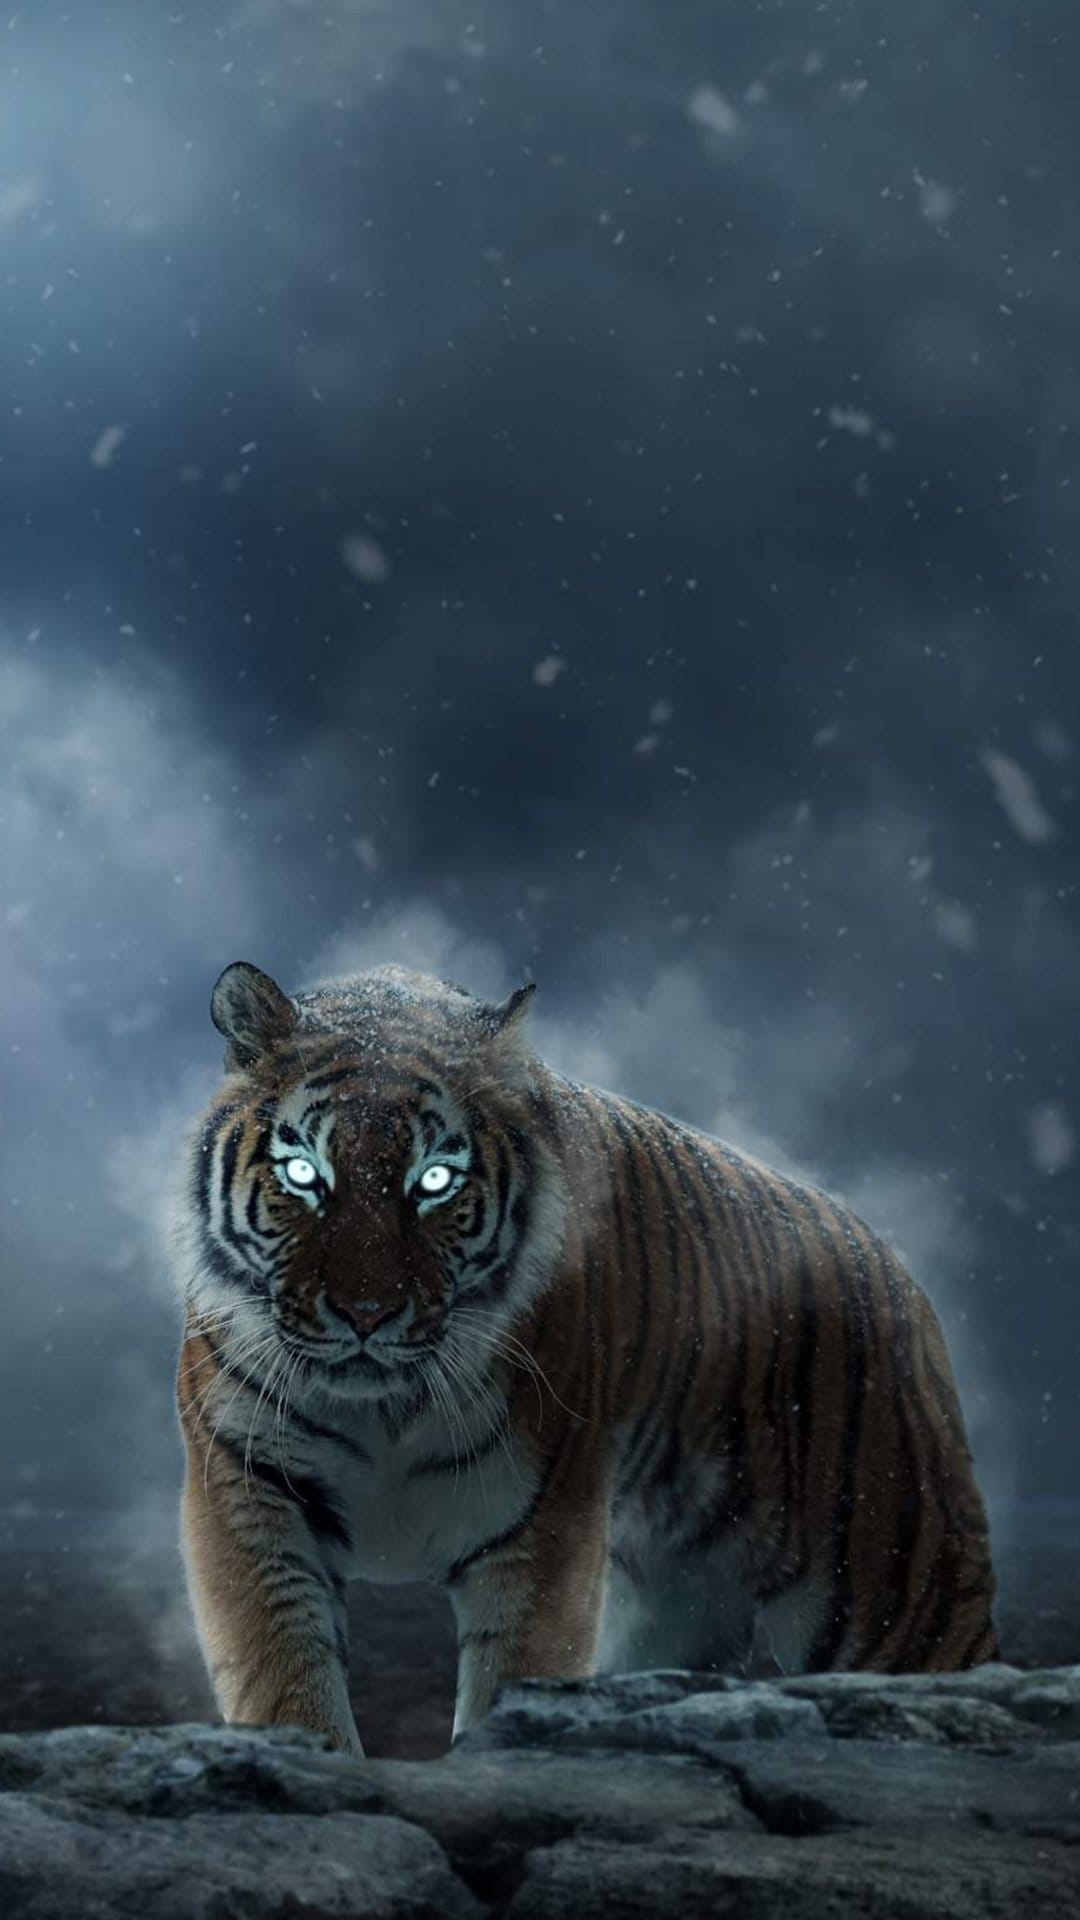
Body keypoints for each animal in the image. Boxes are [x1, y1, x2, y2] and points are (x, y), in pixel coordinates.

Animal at [173, 959, 999, 1755]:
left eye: (434, 1181)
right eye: (303, 1174)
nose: (366, 1314)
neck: (386, 1407)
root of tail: (888, 1259)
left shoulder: (542, 1525)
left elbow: (515, 1678)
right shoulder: (249, 1490)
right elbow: (284, 1678)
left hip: (898, 1587)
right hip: (679, 1603)